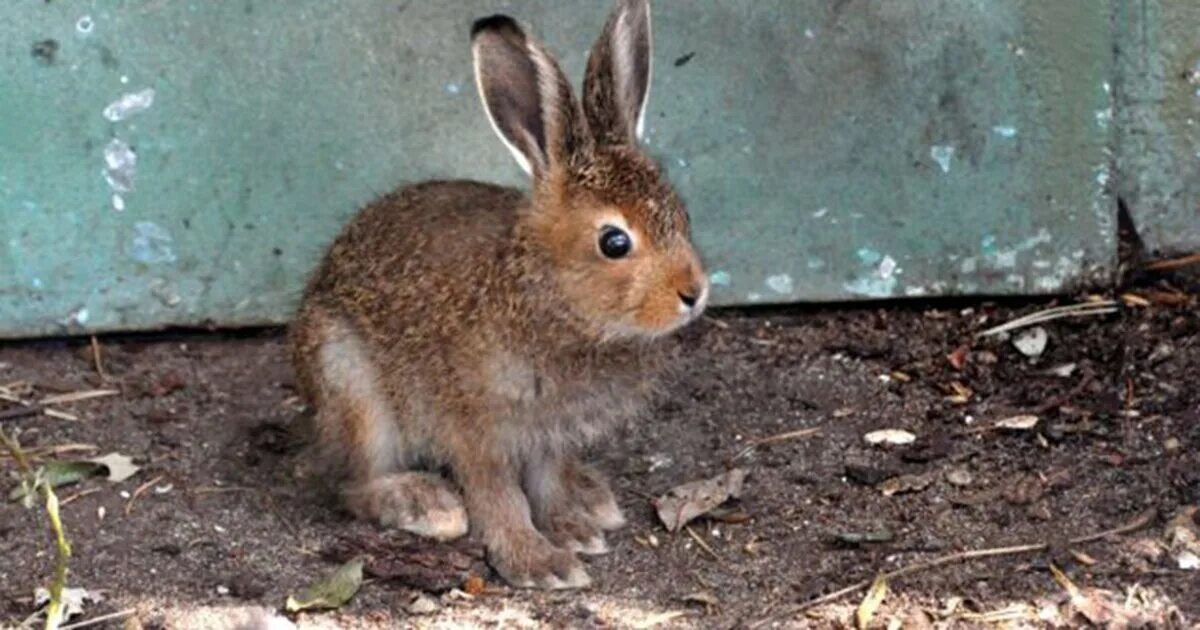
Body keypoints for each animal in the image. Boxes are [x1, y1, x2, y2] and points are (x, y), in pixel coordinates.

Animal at [286, 0, 705, 590]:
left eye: (680, 214)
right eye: (614, 242)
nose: (694, 293)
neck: (545, 293)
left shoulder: (550, 435)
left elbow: (547, 481)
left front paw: (570, 528)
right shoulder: (477, 428)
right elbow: (498, 495)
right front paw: (539, 562)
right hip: (349, 382)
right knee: (350, 482)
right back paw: (423, 503)